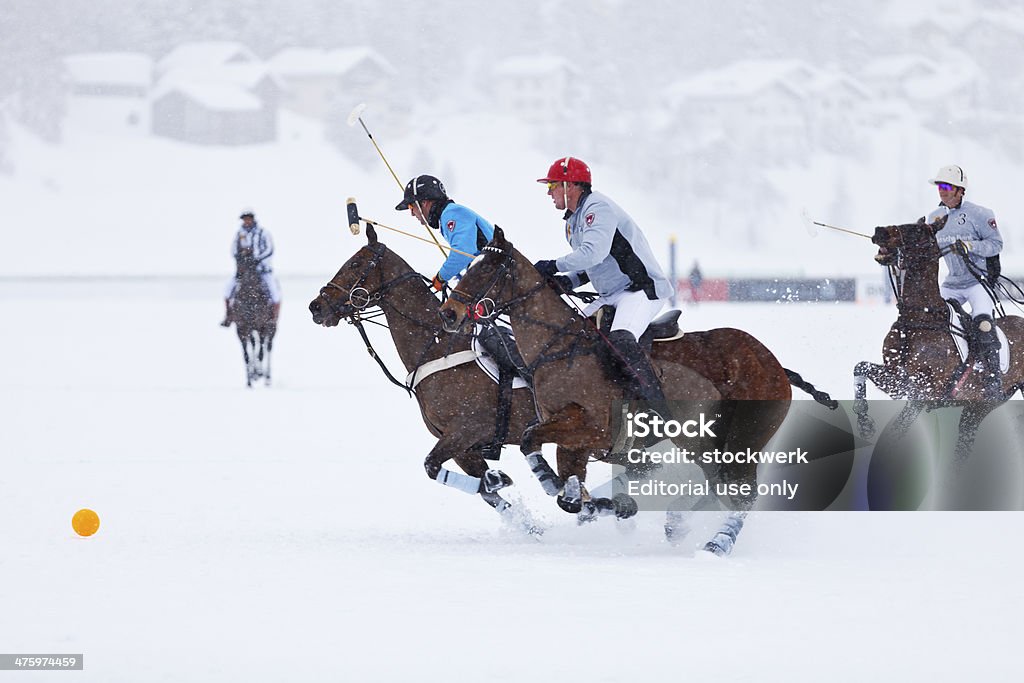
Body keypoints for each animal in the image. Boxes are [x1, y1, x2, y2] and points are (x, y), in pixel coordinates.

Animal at [305, 227, 557, 532]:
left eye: (355, 263)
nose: (316, 307)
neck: (436, 347)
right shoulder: (463, 448)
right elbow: (485, 491)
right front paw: (526, 519)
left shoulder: (466, 430)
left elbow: (433, 466)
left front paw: (503, 479)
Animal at [436, 228, 835, 557]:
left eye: (487, 269)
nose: (449, 313)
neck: (559, 346)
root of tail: (776, 366)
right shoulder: (574, 441)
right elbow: (565, 483)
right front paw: (590, 500)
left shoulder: (593, 429)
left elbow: (531, 441)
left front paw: (553, 483)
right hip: (707, 440)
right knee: (719, 481)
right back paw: (678, 523)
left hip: (744, 435)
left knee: (742, 491)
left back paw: (716, 542)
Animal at [851, 218, 1024, 458]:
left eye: (914, 230)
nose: (879, 231)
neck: (918, 317)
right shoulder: (895, 378)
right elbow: (860, 367)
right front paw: (865, 422)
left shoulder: (921, 392)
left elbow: (897, 431)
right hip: (978, 408)